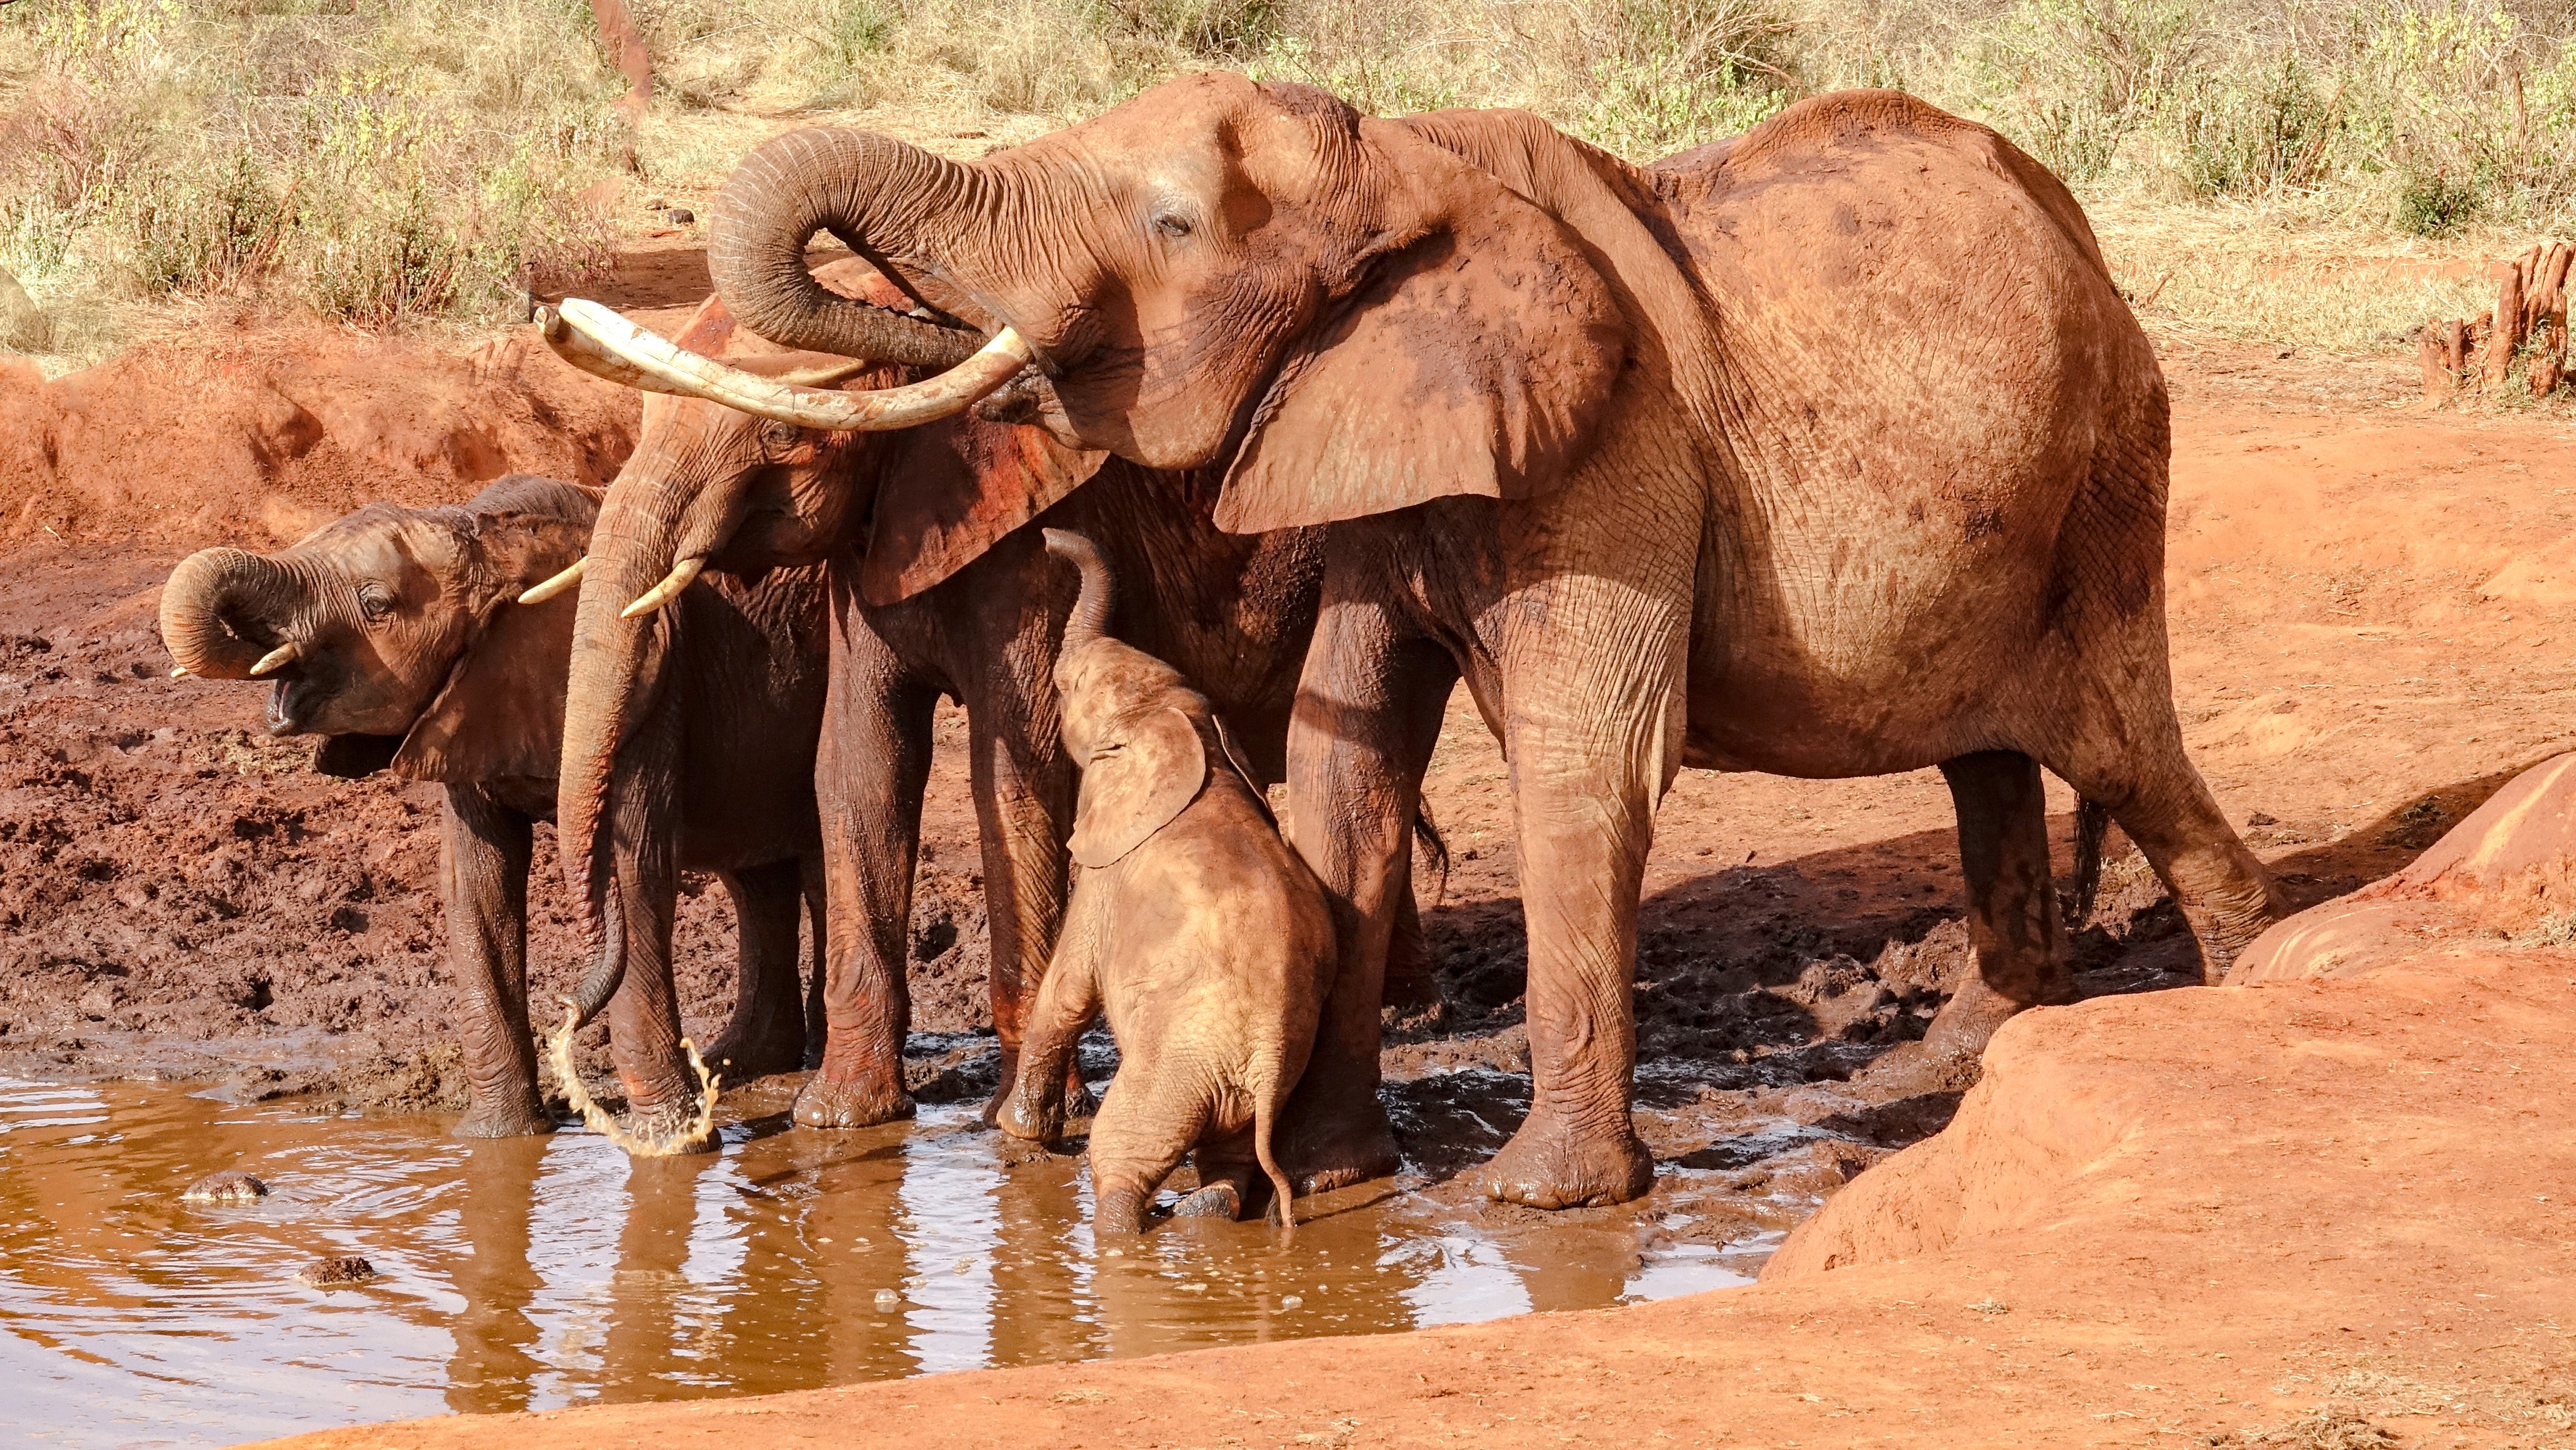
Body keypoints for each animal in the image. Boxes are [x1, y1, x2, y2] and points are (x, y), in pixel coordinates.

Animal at [157, 476, 829, 1143]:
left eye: (376, 604)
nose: (569, 1009)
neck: (488, 532)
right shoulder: (469, 705)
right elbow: (475, 884)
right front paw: (494, 1140)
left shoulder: (653, 698)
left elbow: (639, 874)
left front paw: (673, 1145)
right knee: (756, 879)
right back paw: (742, 1062)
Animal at [996, 530, 1331, 1236]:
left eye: (1066, 687)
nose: (1045, 537)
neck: (1174, 719)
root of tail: (1265, 1064)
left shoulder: (1106, 866)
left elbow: (1067, 988)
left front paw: (1015, 1133)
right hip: (1234, 1080)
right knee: (1232, 1157)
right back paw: (1202, 1214)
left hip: (1175, 1065)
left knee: (1123, 1153)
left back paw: (1122, 1228)